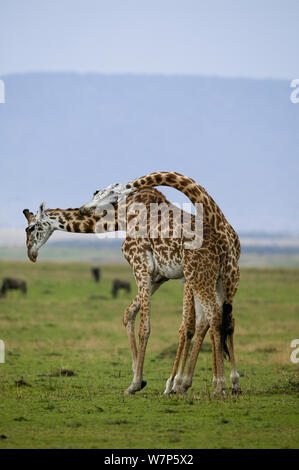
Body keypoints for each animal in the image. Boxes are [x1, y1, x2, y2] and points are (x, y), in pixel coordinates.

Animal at [81, 171, 241, 394]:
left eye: (101, 192)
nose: (84, 208)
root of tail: (221, 243)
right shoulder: (159, 275)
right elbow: (131, 313)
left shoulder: (141, 267)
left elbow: (146, 327)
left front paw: (135, 384)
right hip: (220, 280)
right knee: (220, 321)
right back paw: (216, 383)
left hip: (201, 278)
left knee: (211, 319)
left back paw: (215, 385)